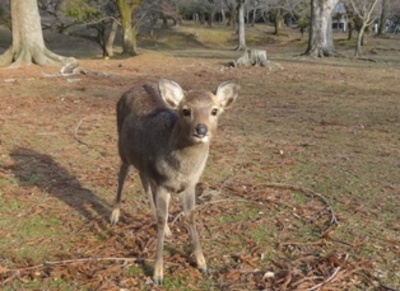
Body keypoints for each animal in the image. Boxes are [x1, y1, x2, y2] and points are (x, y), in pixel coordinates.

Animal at [110, 78, 241, 286]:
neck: (181, 171)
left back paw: (166, 229)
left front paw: (202, 264)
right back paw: (114, 216)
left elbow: (190, 216)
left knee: (144, 181)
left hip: (145, 166)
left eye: (215, 111)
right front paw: (158, 274)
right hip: (123, 150)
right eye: (186, 110)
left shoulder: (189, 185)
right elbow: (163, 218)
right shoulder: (163, 184)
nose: (201, 129)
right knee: (122, 174)